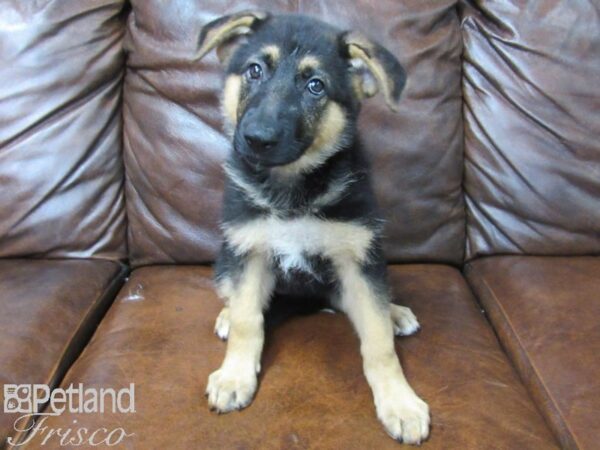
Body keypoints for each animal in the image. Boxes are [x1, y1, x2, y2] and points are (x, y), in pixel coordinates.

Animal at [199, 11, 428, 446]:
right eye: (254, 70)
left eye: (315, 85)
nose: (257, 139)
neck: (292, 189)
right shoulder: (249, 251)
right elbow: (247, 321)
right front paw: (235, 377)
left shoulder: (358, 260)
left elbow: (379, 343)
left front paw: (400, 402)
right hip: (224, 258)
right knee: (231, 296)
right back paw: (224, 315)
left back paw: (395, 312)